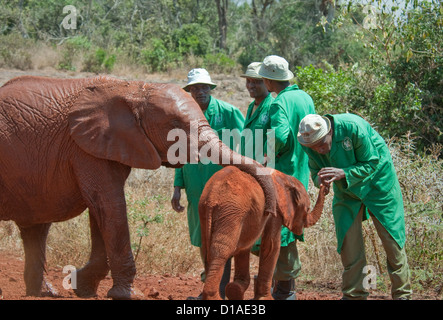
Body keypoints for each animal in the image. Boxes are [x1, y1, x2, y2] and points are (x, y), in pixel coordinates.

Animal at [0, 75, 276, 300]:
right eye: (175, 124)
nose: (268, 212)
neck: (133, 88)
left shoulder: (105, 146)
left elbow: (101, 210)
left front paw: (82, 287)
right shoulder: (84, 147)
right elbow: (109, 204)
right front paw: (129, 295)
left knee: (35, 229)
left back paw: (44, 293)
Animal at [198, 165, 326, 300]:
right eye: (307, 208)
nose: (323, 181)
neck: (284, 178)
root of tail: (212, 198)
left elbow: (245, 246)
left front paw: (235, 290)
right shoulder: (275, 209)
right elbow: (271, 246)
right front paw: (266, 298)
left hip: (206, 211)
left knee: (206, 249)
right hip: (230, 212)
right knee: (221, 250)